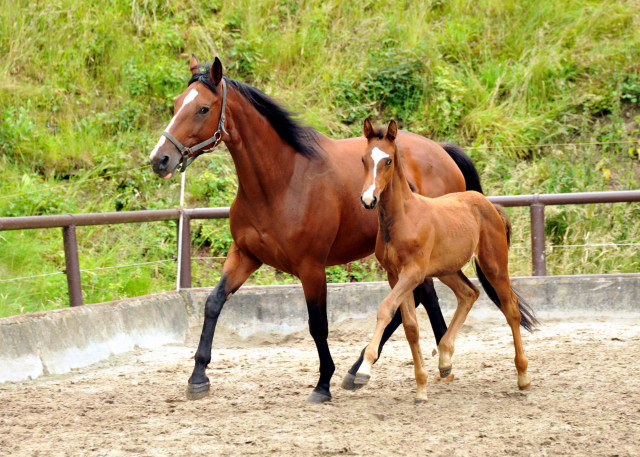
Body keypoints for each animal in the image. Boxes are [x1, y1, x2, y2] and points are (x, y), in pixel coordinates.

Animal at [356, 118, 536, 402]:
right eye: (363, 159)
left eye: (388, 161)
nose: (368, 199)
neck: (402, 218)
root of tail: (488, 204)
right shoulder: (396, 275)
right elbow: (410, 327)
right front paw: (421, 388)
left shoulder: (413, 273)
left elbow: (385, 309)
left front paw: (364, 369)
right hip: (447, 269)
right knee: (469, 293)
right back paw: (444, 360)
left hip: (494, 264)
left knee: (511, 308)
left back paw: (523, 376)